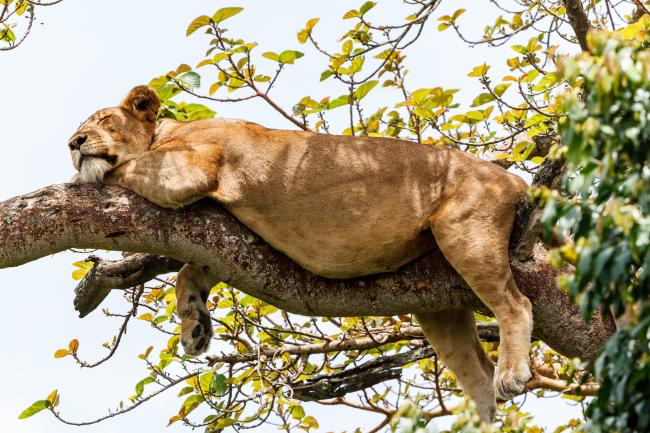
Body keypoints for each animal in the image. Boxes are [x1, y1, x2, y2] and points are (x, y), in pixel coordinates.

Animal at [68, 86, 532, 420]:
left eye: (105, 120)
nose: (74, 142)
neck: (163, 134)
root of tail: (515, 180)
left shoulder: (189, 168)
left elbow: (121, 168)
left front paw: (82, 176)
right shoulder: (224, 241)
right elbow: (189, 272)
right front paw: (195, 326)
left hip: (464, 231)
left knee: (516, 304)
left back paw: (511, 374)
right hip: (435, 306)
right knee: (475, 368)